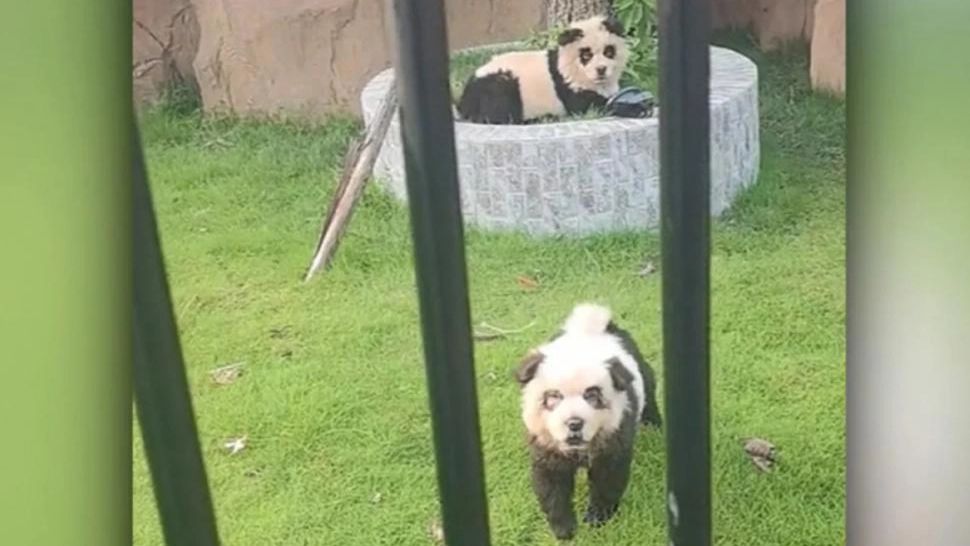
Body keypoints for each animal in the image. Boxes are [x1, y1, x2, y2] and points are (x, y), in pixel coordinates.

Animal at [456, 15, 629, 125]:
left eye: (609, 52)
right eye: (586, 55)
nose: (601, 69)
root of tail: (464, 100)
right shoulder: (568, 83)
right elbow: (588, 106)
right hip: (501, 82)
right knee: (498, 111)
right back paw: (542, 118)